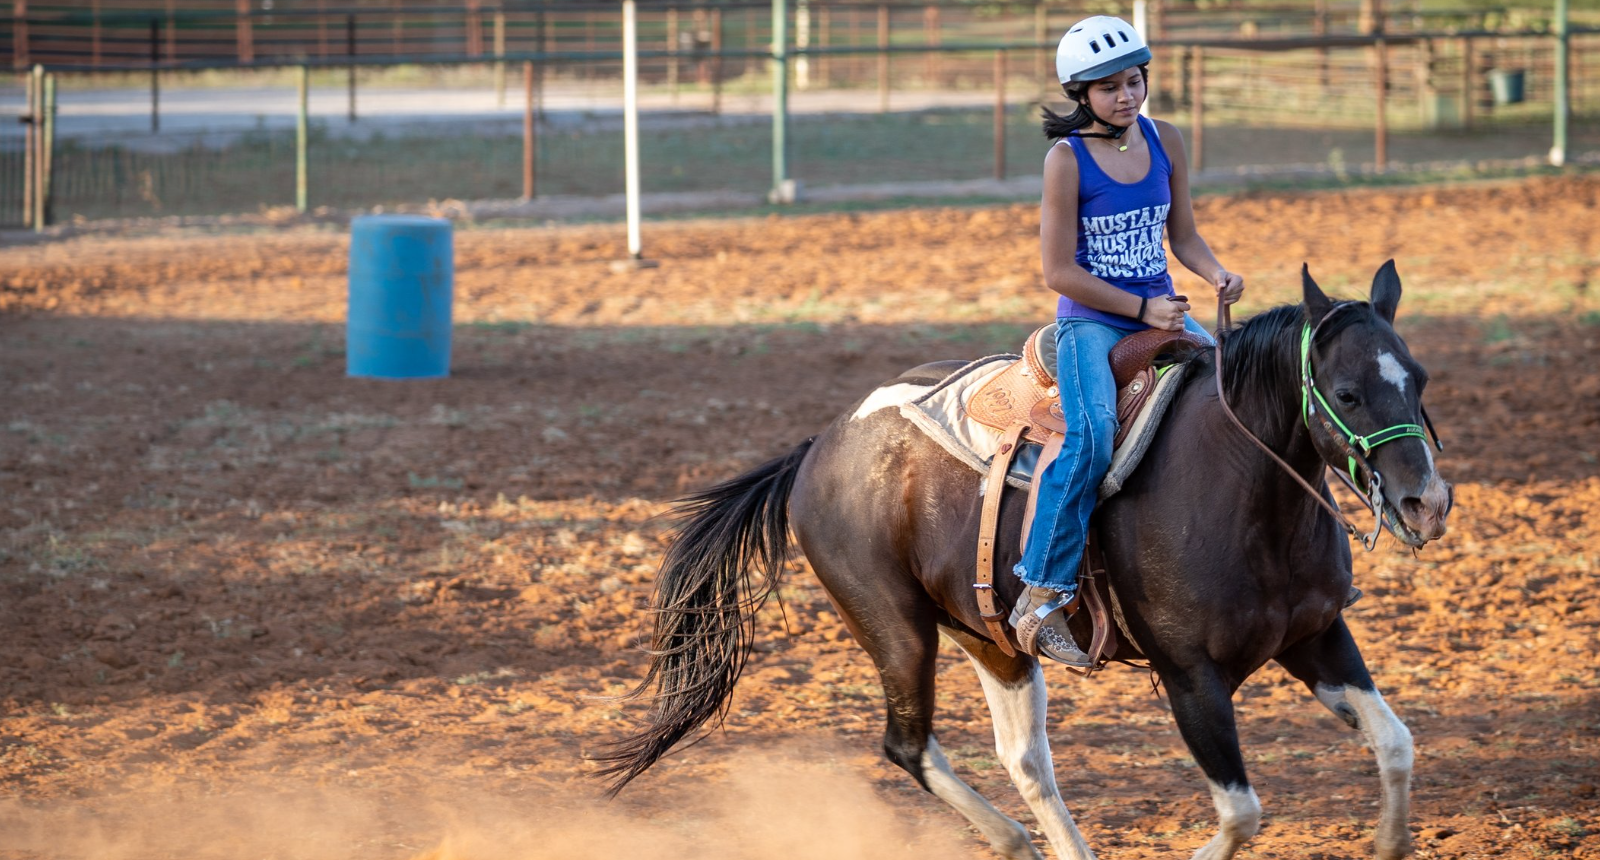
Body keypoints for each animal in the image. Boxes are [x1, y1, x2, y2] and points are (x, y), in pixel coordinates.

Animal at [597, 261, 1452, 860]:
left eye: (1418, 377)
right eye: (1346, 389)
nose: (1426, 503)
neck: (1244, 490)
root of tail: (818, 448)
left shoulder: (1315, 637)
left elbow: (1396, 744)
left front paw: (1390, 841)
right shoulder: (1190, 676)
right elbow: (1241, 812)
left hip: (992, 638)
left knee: (1024, 759)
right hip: (896, 631)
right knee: (909, 745)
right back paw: (1008, 839)